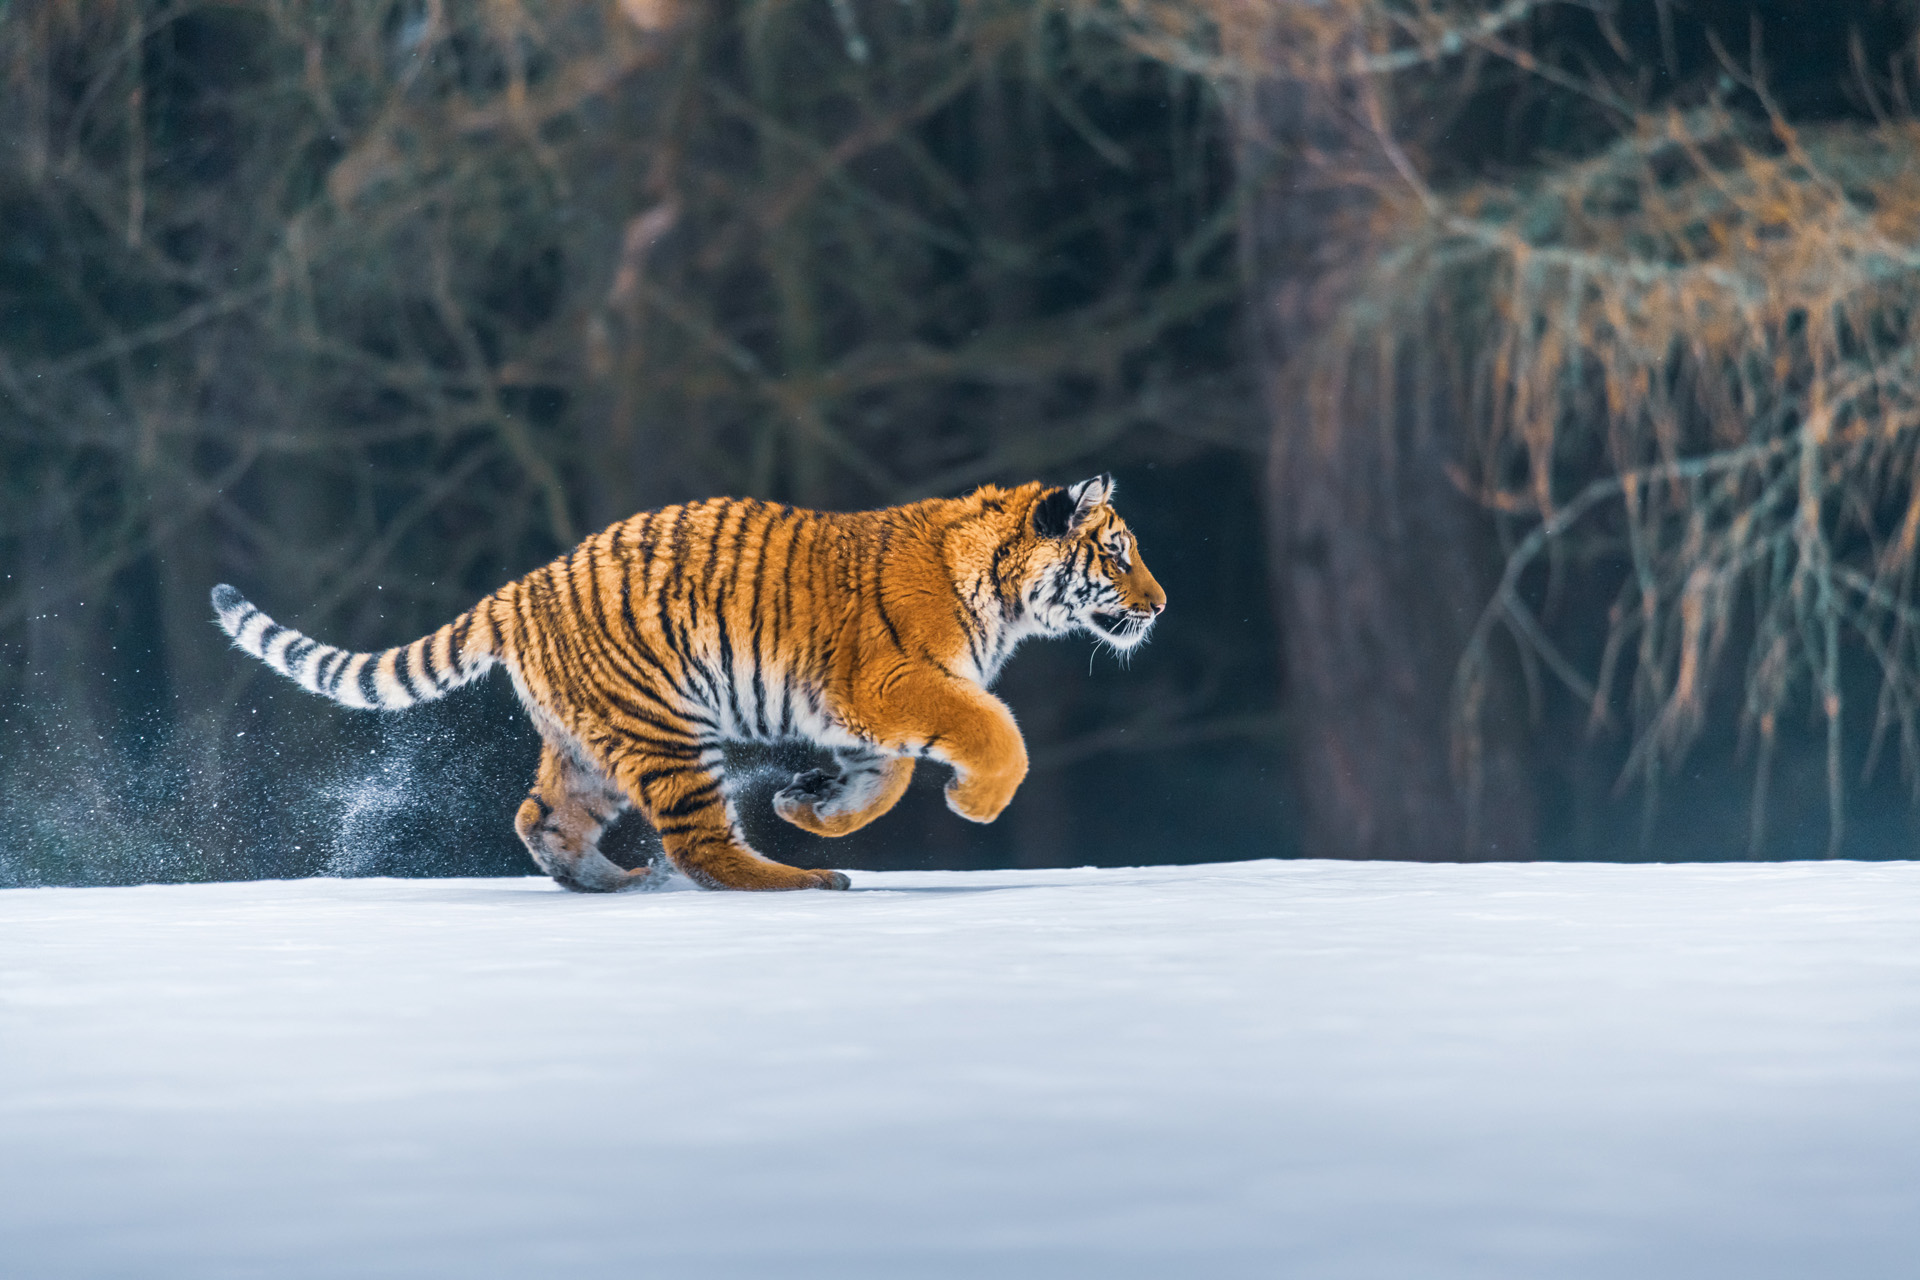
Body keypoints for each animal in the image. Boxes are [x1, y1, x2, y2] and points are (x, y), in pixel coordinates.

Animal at [212, 474, 1165, 892]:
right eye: (1118, 553)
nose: (1160, 605)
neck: (999, 589)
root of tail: (523, 585)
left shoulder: (862, 706)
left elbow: (885, 777)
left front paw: (811, 806)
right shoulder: (892, 679)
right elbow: (995, 729)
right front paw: (975, 802)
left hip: (589, 740)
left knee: (541, 816)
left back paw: (610, 882)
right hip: (668, 726)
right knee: (702, 847)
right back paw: (799, 880)